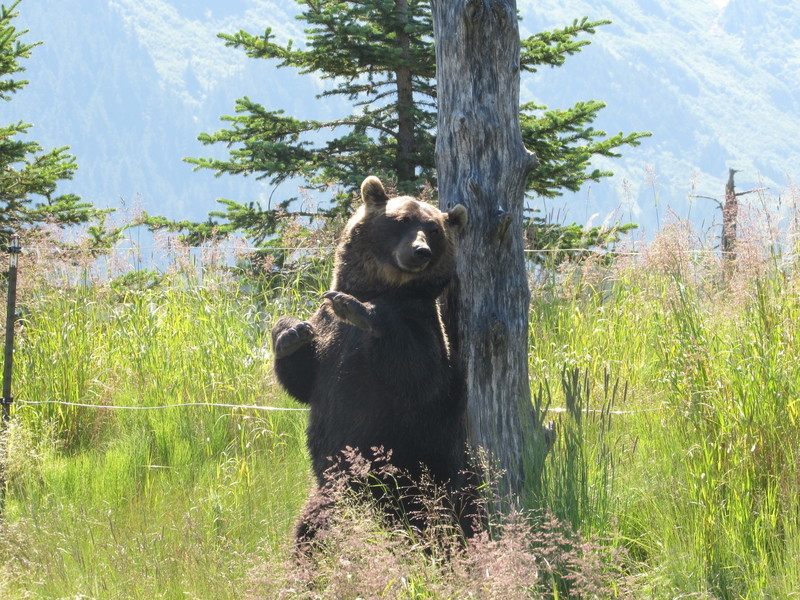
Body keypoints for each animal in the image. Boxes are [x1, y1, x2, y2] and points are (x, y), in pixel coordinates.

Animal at [272, 175, 478, 548]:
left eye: (434, 230)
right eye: (402, 221)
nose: (420, 251)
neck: (386, 288)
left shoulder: (424, 325)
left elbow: (419, 376)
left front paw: (358, 309)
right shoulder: (328, 332)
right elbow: (303, 381)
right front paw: (291, 332)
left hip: (422, 467)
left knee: (432, 517)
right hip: (336, 488)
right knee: (313, 524)